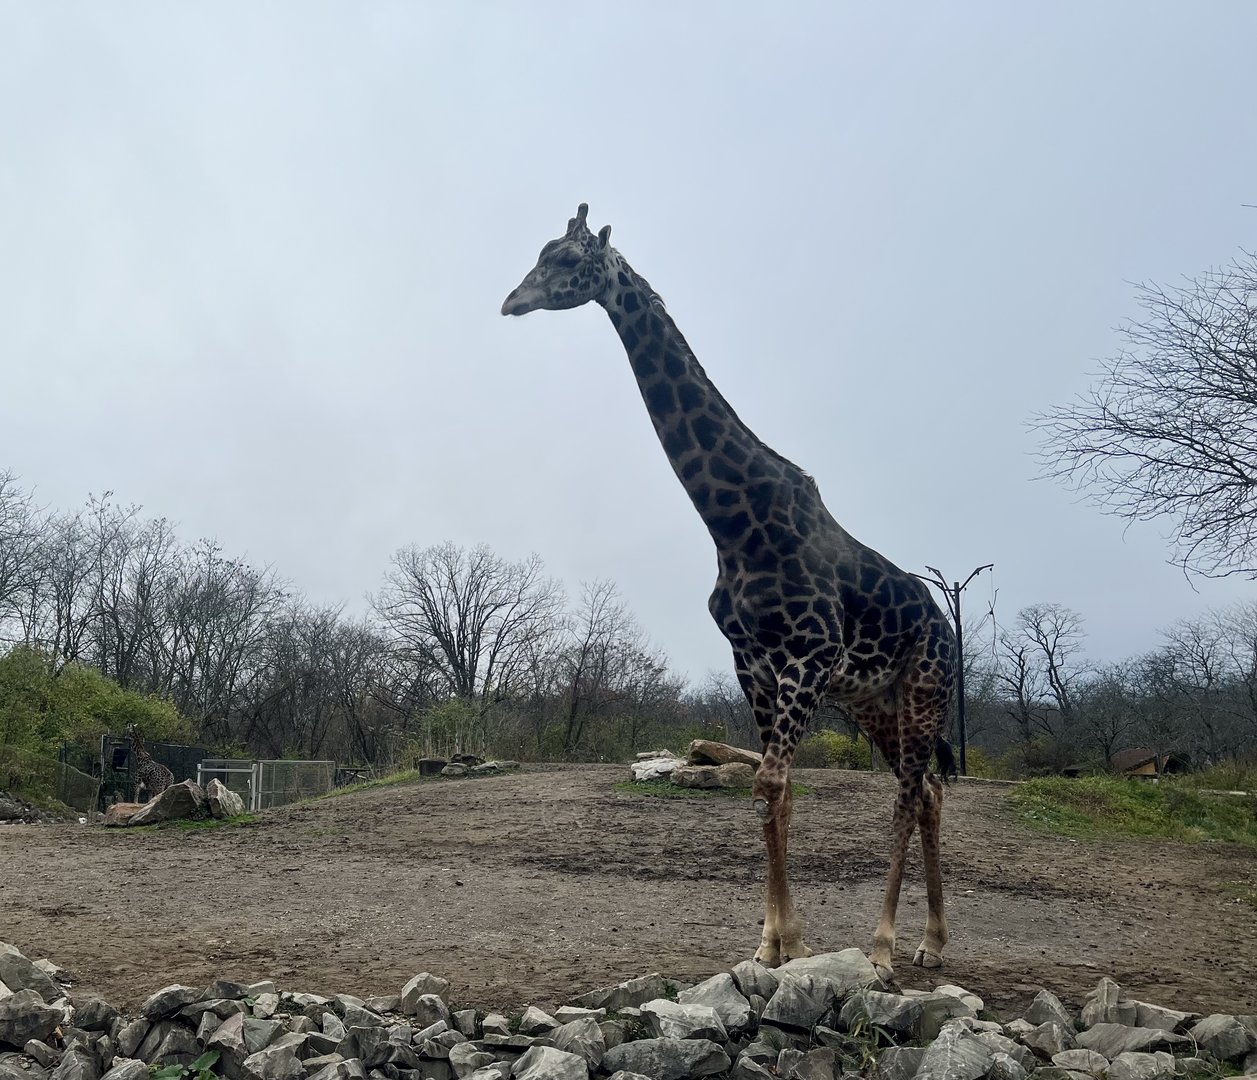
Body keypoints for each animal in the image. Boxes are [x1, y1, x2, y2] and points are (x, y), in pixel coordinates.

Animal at [502, 204, 958, 978]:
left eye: (566, 260)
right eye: (540, 253)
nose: (511, 301)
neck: (734, 524)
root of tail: (948, 626)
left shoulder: (809, 654)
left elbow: (770, 784)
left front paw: (794, 942)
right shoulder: (753, 662)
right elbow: (776, 793)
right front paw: (773, 942)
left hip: (924, 688)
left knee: (907, 793)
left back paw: (883, 947)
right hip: (875, 701)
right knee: (924, 789)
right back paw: (931, 940)